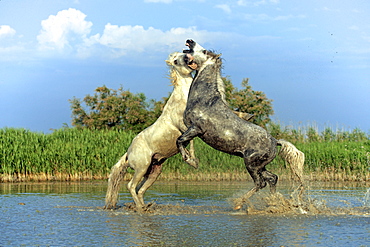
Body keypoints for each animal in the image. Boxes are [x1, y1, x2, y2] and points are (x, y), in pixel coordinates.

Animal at [178, 39, 304, 209]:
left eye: (204, 51)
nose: (190, 41)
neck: (204, 100)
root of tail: (275, 141)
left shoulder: (195, 128)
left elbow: (180, 141)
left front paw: (190, 161)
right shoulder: (190, 129)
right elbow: (184, 142)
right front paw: (192, 160)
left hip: (251, 164)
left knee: (261, 183)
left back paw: (239, 203)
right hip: (260, 166)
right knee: (272, 178)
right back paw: (273, 203)